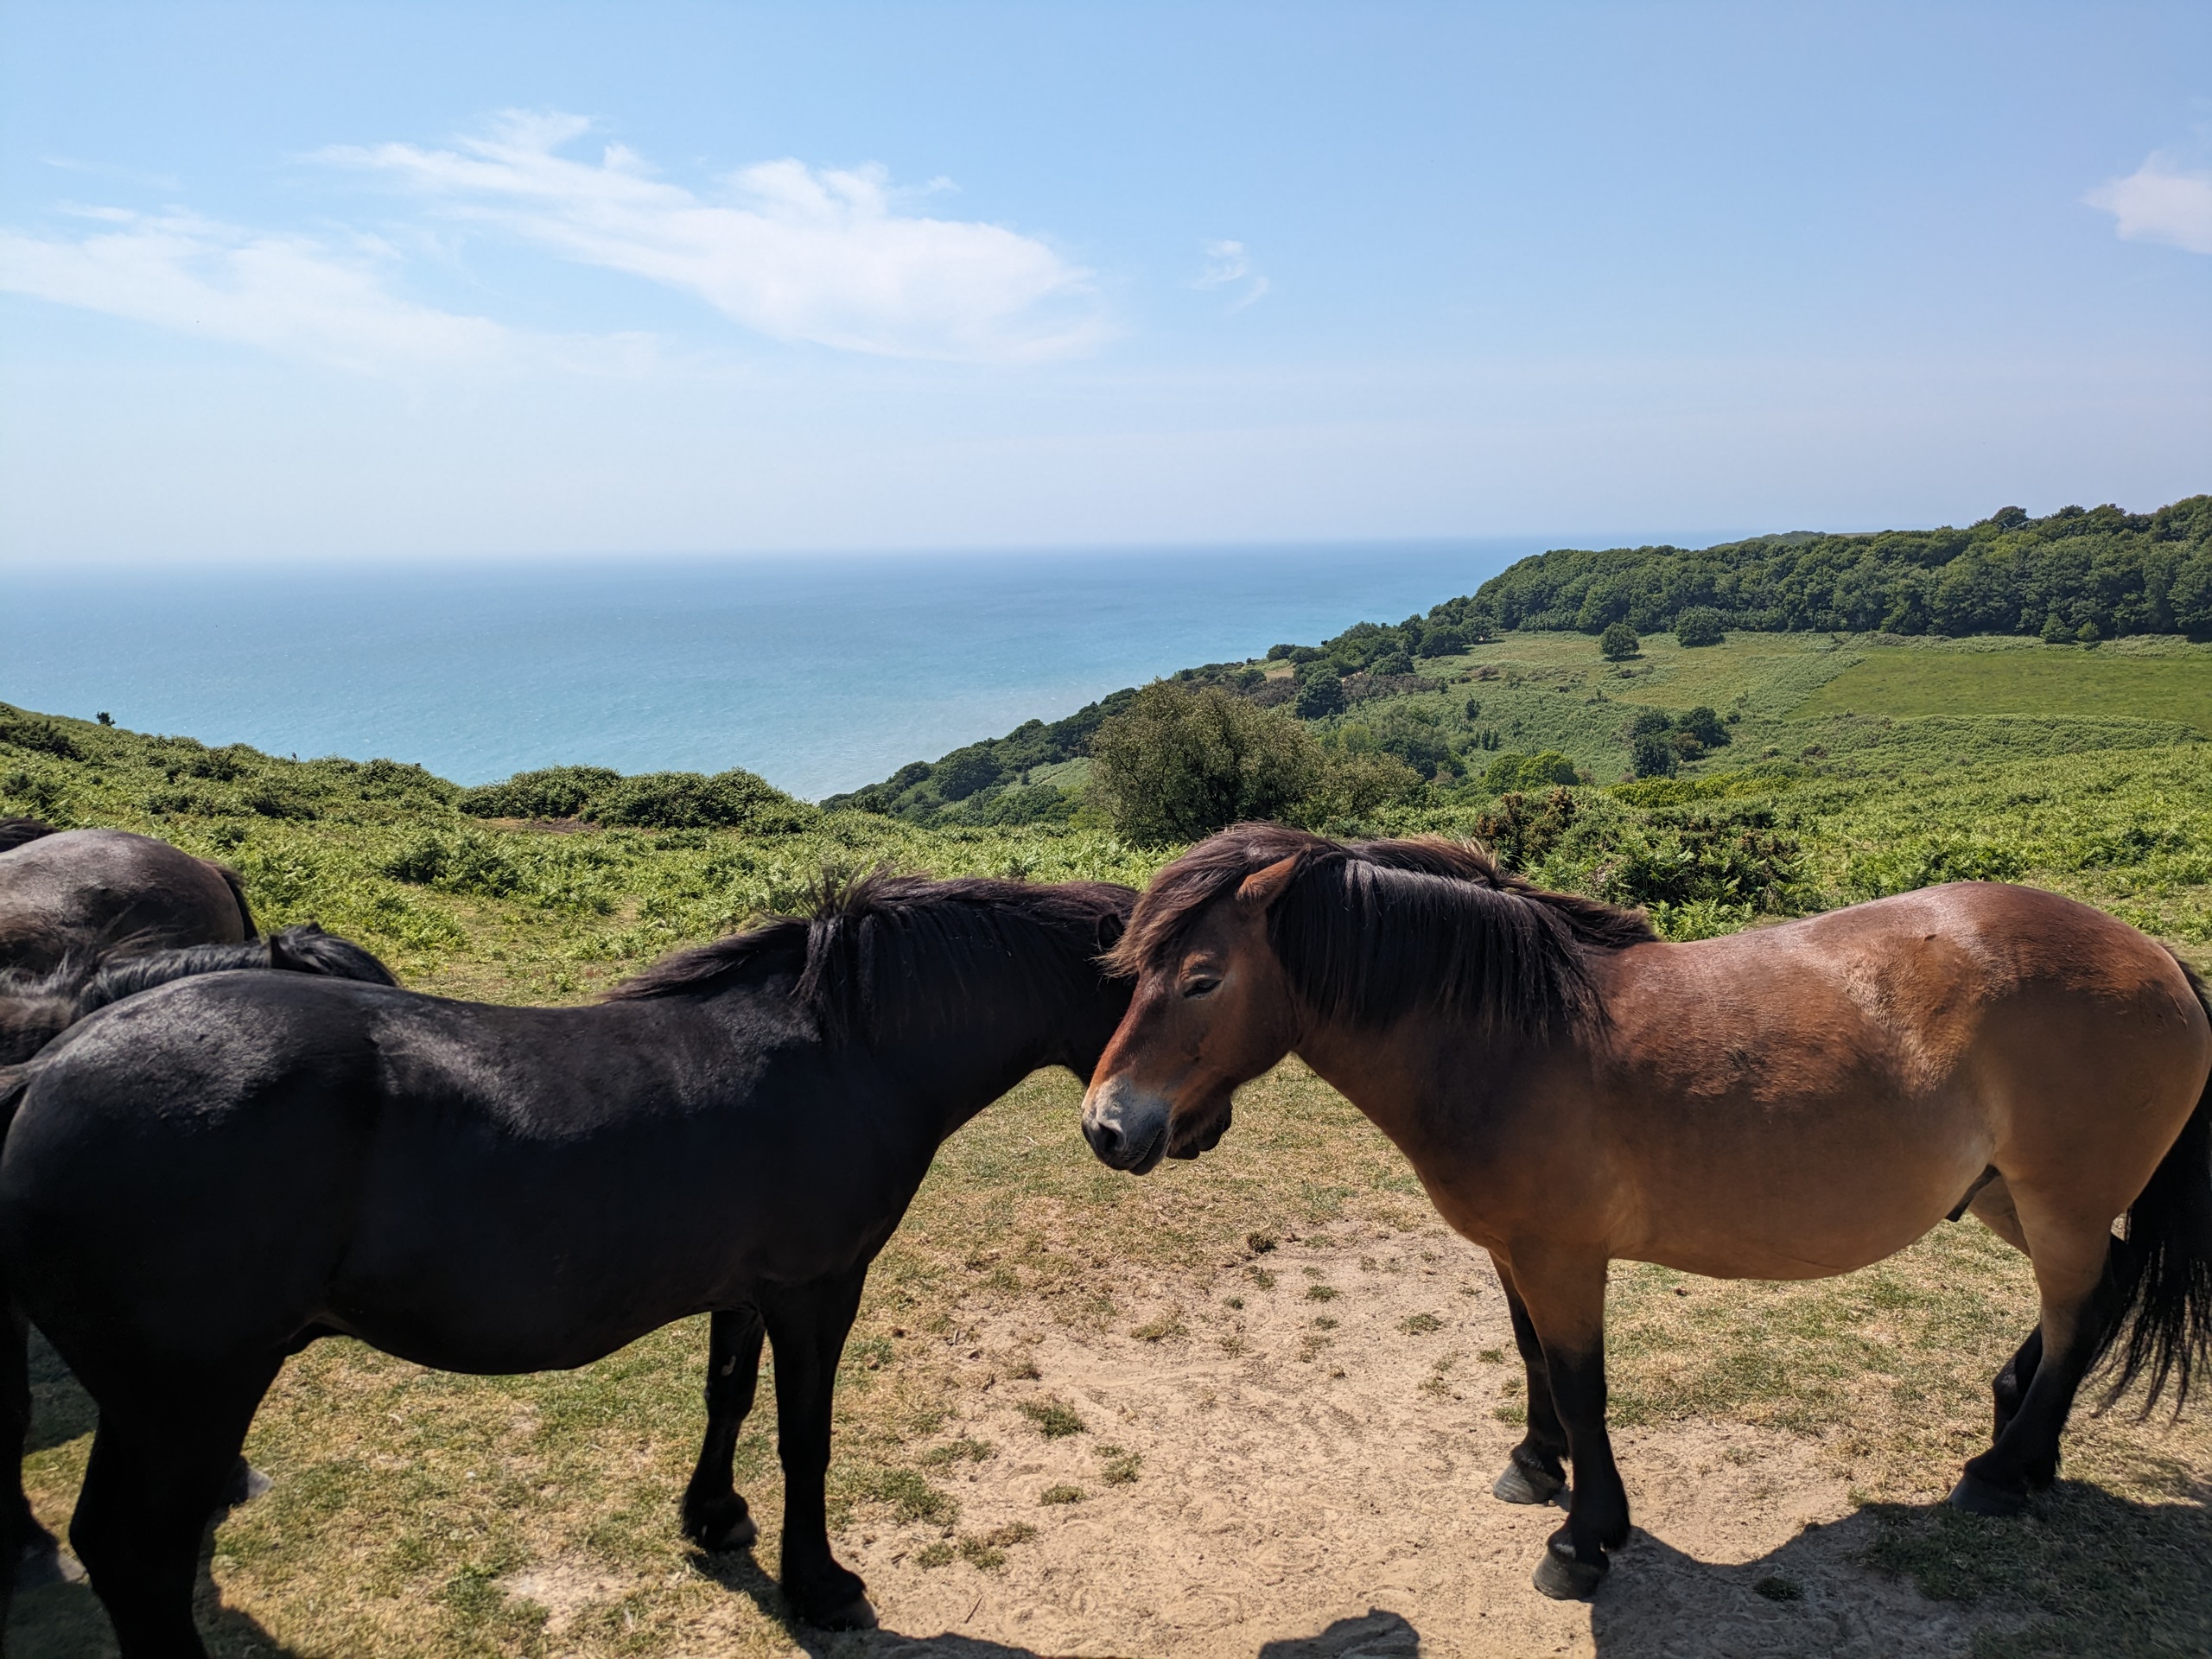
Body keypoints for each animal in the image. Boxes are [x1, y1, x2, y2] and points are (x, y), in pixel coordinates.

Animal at [1078, 823, 2212, 1601]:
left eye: (1201, 979)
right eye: (1134, 971)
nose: (1105, 1127)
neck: (1507, 1035)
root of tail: (2155, 954)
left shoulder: (1563, 1258)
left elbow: (1583, 1388)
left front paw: (1584, 1540)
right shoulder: (1513, 1254)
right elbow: (1533, 1362)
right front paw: (1534, 1466)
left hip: (2058, 1202)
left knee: (2076, 1315)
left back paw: (2000, 1469)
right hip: (2004, 1197)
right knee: (2096, 1299)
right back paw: (2024, 1437)